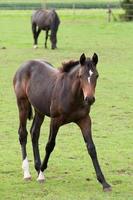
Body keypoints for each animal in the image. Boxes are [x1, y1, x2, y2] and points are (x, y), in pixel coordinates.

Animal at [13, 53, 111, 192]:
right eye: (80, 76)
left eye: (96, 75)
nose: (90, 99)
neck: (72, 94)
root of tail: (24, 64)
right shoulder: (55, 120)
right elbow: (50, 145)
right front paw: (41, 172)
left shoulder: (85, 120)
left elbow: (91, 148)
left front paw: (104, 182)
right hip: (23, 104)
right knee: (23, 134)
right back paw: (27, 173)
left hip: (39, 109)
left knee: (34, 133)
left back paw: (37, 167)